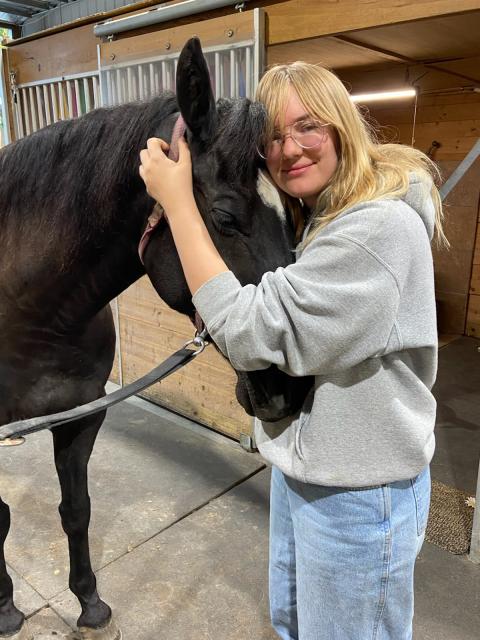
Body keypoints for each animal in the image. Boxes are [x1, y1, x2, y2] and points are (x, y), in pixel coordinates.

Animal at [0, 38, 312, 639]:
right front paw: (5, 606)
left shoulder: (80, 415)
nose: (291, 389)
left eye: (294, 216)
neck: (34, 312)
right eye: (224, 217)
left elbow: (77, 510)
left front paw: (91, 605)